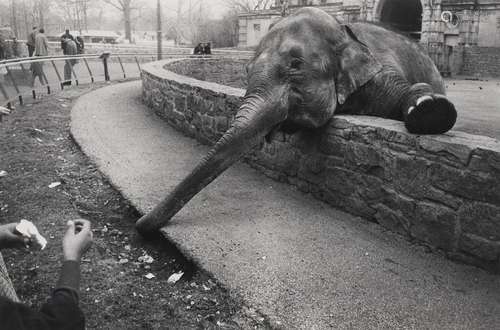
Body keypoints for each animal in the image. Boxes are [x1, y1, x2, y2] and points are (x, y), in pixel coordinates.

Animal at [135, 7, 456, 235]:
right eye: (247, 69)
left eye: (295, 65)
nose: (139, 225)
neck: (342, 30)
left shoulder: (378, 73)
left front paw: (430, 111)